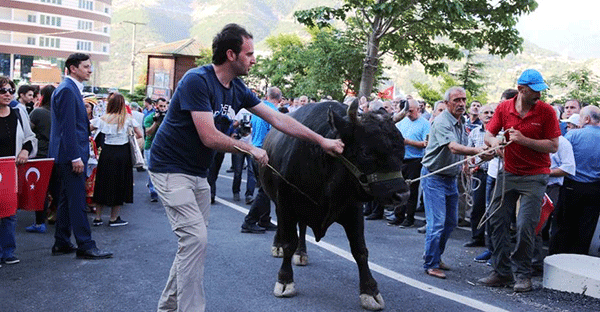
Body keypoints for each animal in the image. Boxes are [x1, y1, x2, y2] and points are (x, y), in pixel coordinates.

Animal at [260, 102, 410, 310]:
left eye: (402, 148)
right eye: (366, 151)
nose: (402, 195)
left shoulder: (354, 211)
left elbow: (360, 250)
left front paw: (370, 291)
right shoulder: (285, 205)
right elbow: (289, 242)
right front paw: (285, 281)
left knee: (302, 227)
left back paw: (302, 253)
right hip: (277, 201)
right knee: (284, 230)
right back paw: (278, 246)